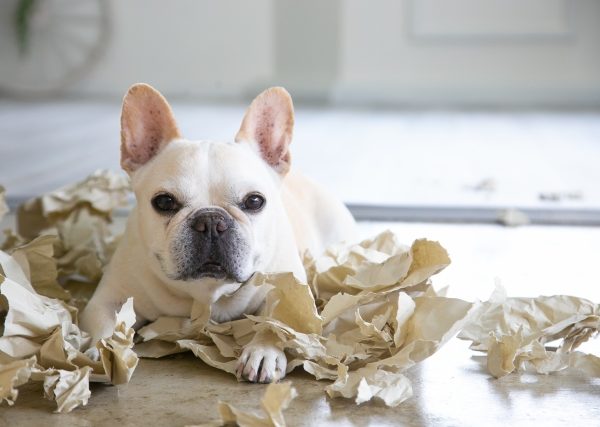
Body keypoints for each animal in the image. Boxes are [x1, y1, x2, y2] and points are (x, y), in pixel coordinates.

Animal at [82, 83, 358, 384]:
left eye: (254, 201)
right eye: (164, 202)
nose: (211, 221)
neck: (206, 292)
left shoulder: (292, 294)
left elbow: (277, 323)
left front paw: (263, 352)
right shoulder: (109, 299)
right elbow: (104, 324)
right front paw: (102, 353)